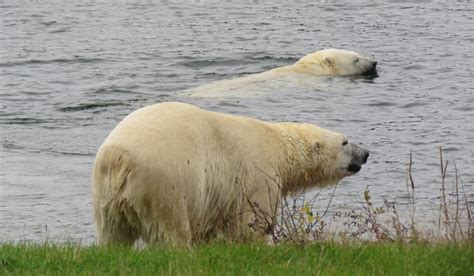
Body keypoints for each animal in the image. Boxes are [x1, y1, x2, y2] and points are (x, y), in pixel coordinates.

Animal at [90, 102, 368, 246]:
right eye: (345, 142)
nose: (365, 153)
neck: (278, 145)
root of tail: (117, 157)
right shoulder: (259, 175)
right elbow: (254, 220)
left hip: (105, 194)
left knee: (112, 236)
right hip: (165, 182)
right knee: (171, 230)